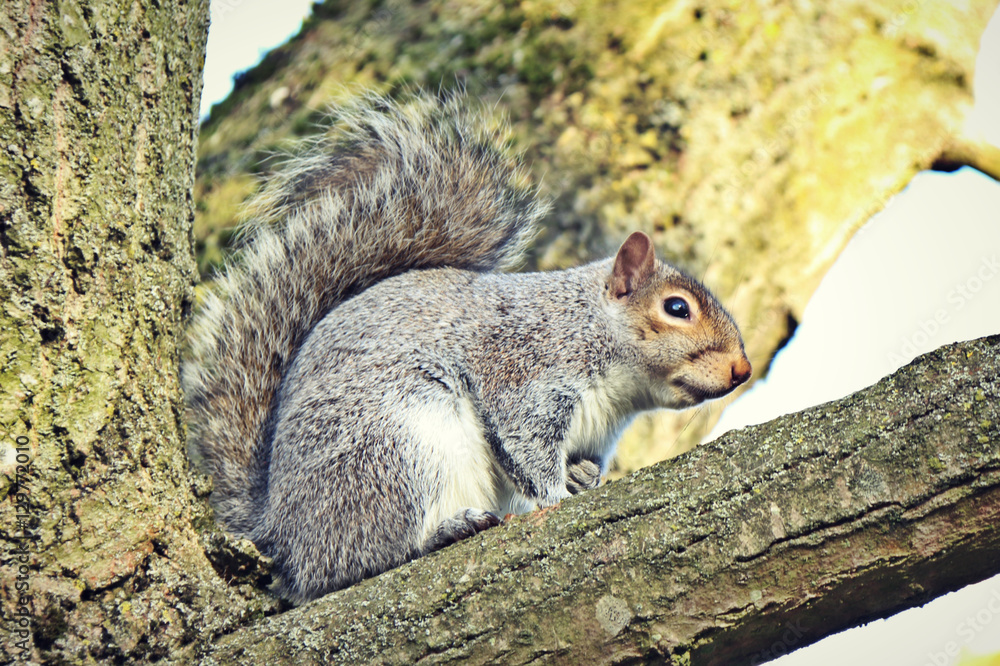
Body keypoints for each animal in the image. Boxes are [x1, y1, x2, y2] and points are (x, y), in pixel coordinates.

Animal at [183, 92, 752, 604]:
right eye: (677, 308)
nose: (742, 369)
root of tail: (280, 532)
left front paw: (584, 477)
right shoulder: (525, 368)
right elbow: (524, 444)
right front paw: (555, 494)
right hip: (394, 446)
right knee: (360, 560)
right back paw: (441, 531)